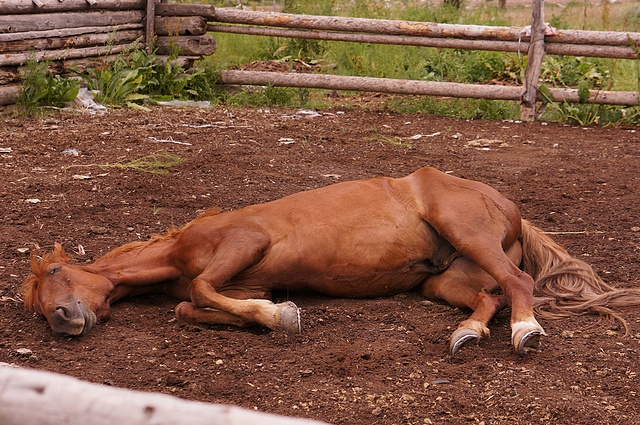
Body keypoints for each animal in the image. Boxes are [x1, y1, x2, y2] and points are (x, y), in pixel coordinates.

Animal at [21, 166, 640, 354]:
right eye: (36, 307)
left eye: (54, 271)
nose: (62, 319)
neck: (175, 252)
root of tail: (507, 205)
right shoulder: (245, 283)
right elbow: (193, 307)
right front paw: (271, 317)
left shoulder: (244, 244)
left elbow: (197, 293)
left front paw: (283, 318)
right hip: (443, 282)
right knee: (492, 294)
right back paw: (466, 334)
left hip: (468, 234)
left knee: (518, 284)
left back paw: (525, 332)